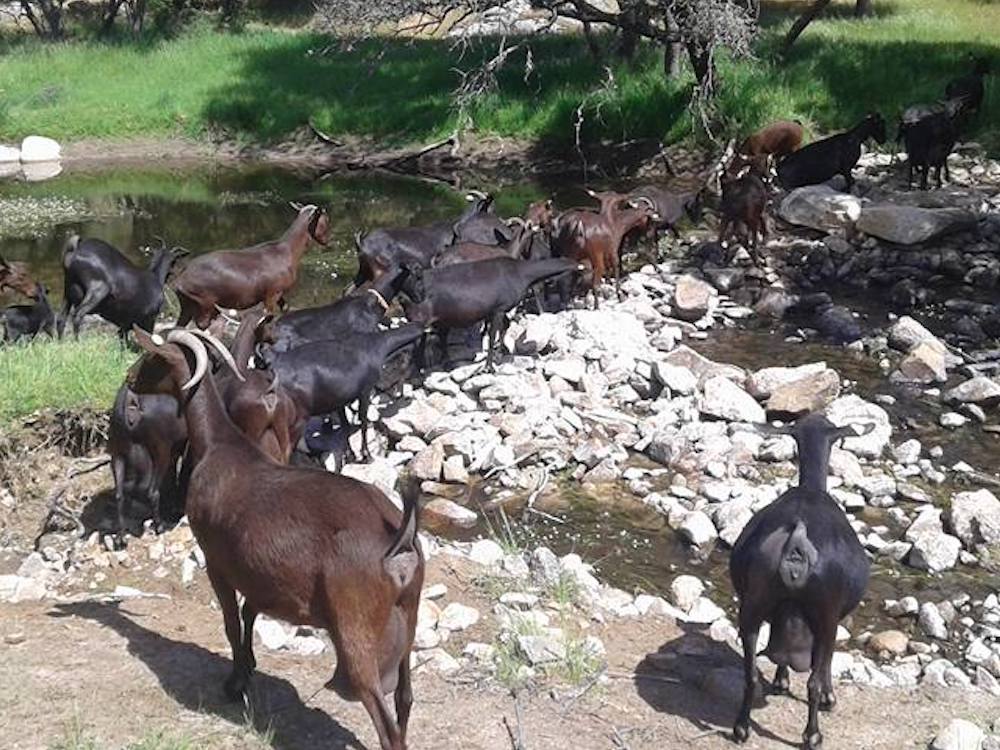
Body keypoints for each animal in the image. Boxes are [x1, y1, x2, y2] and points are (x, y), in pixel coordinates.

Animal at [56, 236, 187, 346]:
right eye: (174, 261)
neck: (155, 276)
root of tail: (76, 249)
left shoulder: (125, 322)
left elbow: (122, 338)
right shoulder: (149, 319)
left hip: (67, 290)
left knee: (61, 319)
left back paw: (60, 344)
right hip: (98, 290)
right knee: (77, 315)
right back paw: (78, 343)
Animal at [170, 203, 330, 328]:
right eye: (326, 220)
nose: (327, 240)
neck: (288, 251)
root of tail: (180, 280)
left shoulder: (279, 293)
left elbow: (286, 308)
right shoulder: (272, 293)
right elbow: (268, 315)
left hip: (188, 304)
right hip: (204, 301)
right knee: (202, 324)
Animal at [256, 324, 424, 464]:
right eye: (405, 359)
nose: (400, 393)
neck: (376, 346)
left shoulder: (339, 400)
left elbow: (345, 426)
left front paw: (350, 455)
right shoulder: (365, 391)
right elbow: (363, 422)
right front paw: (366, 455)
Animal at [402, 258, 584, 374]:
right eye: (574, 277)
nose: (570, 300)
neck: (522, 274)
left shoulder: (494, 310)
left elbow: (505, 327)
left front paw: (503, 351)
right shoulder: (498, 308)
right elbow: (491, 336)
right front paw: (489, 367)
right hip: (421, 318)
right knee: (419, 341)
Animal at [728, 414, 876, 750]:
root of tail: (797, 539)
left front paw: (781, 680)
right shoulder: (833, 618)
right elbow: (826, 664)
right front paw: (830, 697)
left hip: (753, 604)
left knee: (751, 672)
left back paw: (741, 728)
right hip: (825, 613)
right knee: (813, 680)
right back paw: (813, 735)